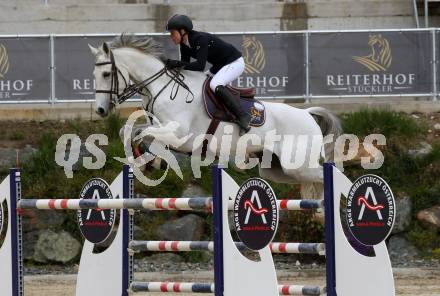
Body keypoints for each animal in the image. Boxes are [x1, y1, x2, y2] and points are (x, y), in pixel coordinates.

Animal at [89, 34, 342, 199]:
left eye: (106, 73)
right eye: (95, 74)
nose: (100, 110)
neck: (160, 87)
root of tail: (307, 114)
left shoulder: (180, 134)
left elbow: (146, 135)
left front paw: (151, 160)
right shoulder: (161, 127)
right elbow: (130, 131)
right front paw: (146, 162)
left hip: (298, 164)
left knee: (332, 175)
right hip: (278, 169)